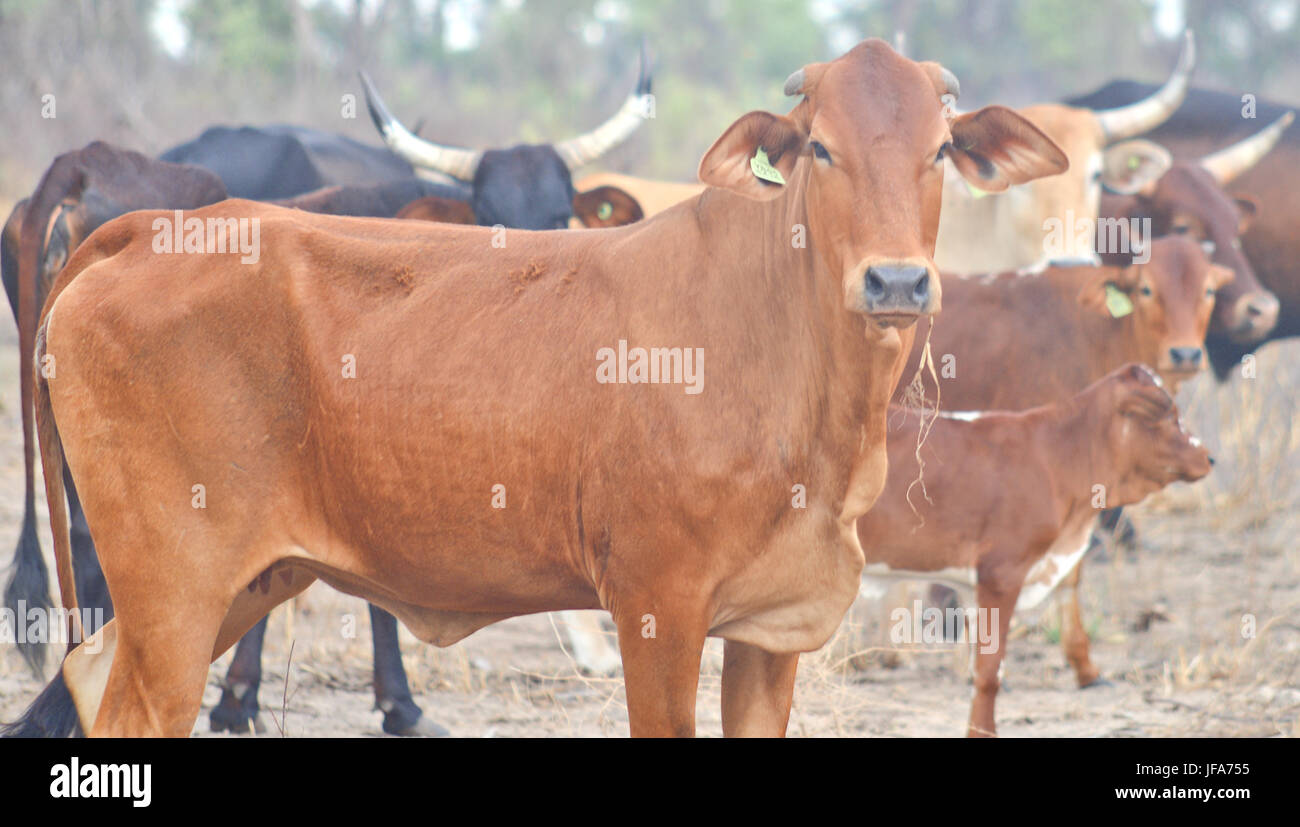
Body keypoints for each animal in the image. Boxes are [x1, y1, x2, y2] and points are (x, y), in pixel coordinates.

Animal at [5, 38, 1071, 738]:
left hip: (242, 582)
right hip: (174, 595)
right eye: (820, 148)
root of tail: (136, 230)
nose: (896, 283)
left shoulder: (771, 634)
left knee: (89, 680)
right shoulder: (656, 607)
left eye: (940, 151)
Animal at [857, 364, 1211, 733]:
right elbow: (989, 672)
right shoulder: (1002, 574)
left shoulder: (976, 584)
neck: (1056, 458)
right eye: (1171, 416)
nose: (1208, 457)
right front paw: (983, 732)